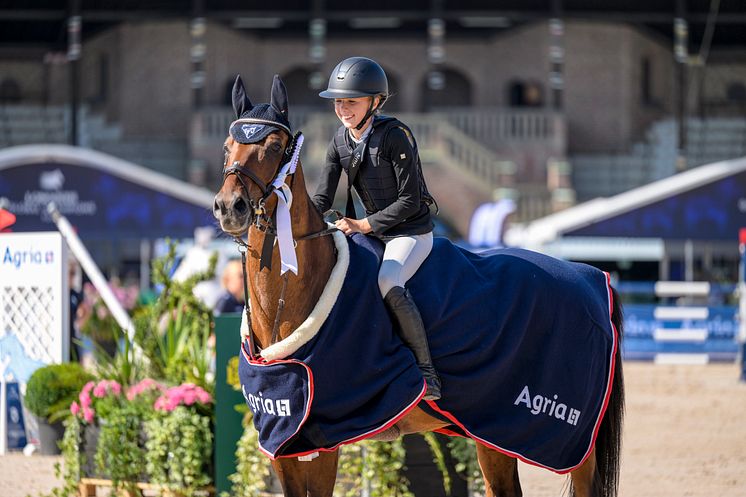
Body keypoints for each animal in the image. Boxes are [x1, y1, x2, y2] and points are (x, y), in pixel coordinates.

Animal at [214, 73, 620, 496]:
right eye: (227, 146)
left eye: (275, 146)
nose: (230, 208)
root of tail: (592, 277)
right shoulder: (286, 440)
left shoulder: (325, 439)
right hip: (495, 429)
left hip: (568, 438)